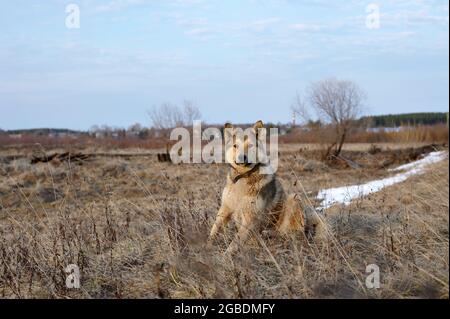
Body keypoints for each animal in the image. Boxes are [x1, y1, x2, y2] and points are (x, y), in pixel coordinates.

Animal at [207, 120, 324, 255]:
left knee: (289, 233)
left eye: (250, 145)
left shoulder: (250, 218)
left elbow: (235, 241)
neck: (244, 176)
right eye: (236, 146)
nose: (241, 157)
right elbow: (214, 229)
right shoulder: (225, 209)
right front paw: (206, 246)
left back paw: (271, 235)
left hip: (293, 199)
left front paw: (225, 256)